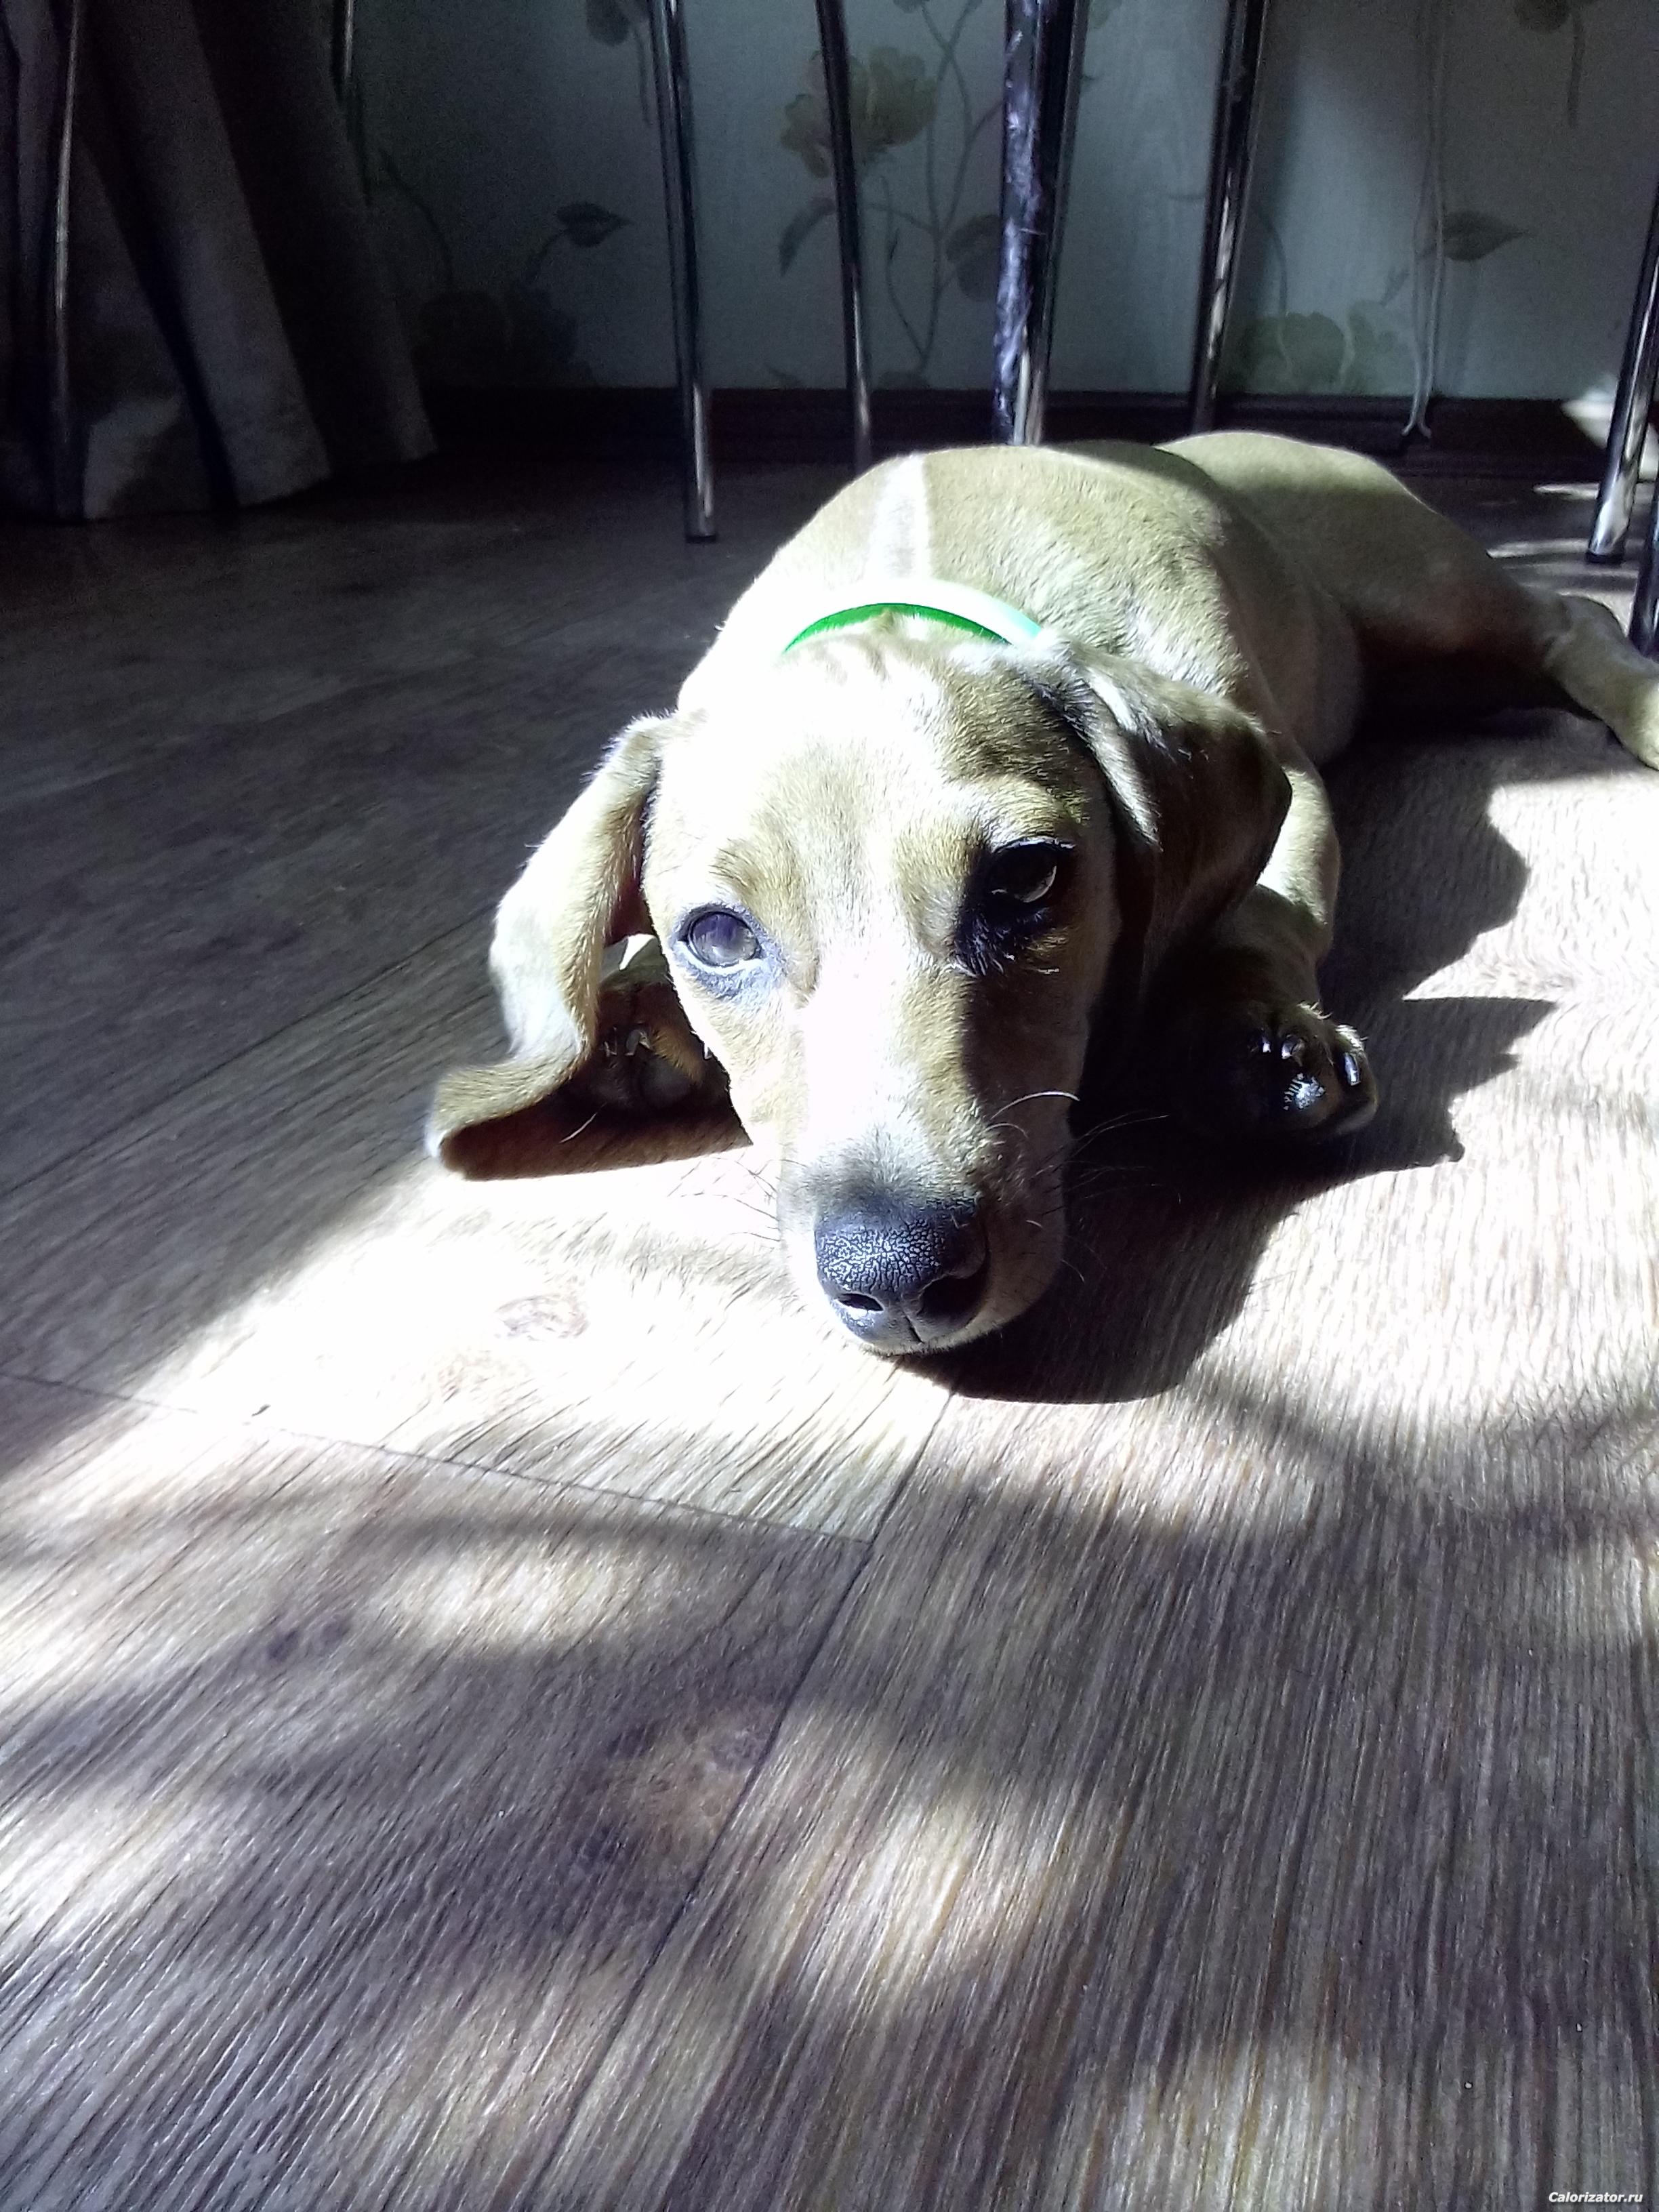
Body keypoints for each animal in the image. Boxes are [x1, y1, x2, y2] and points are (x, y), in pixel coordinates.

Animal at [430, 433, 1659, 1355]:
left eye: (1023, 878)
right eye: (718, 937)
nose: (899, 1280)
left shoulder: (1289, 775)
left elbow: (1261, 912)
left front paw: (1255, 1036)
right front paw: (639, 1009)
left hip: (1428, 600)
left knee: (1575, 619)